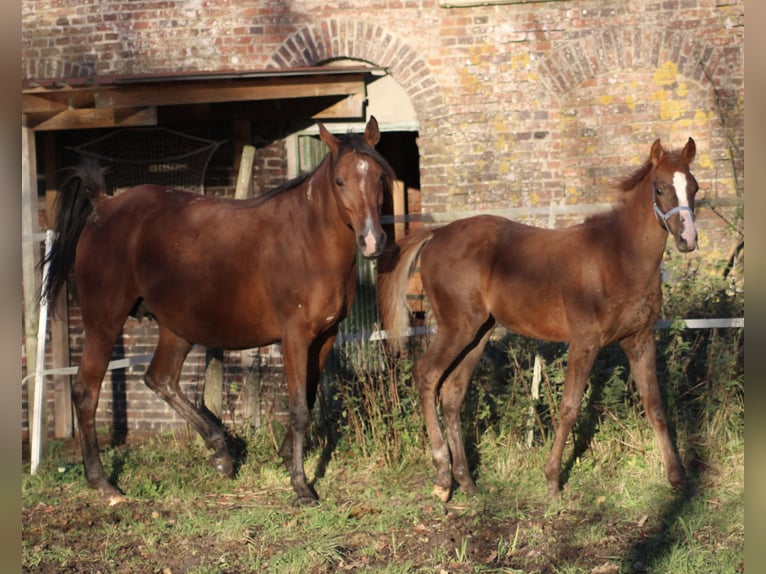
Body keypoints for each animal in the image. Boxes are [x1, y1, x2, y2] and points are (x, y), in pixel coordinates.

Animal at [42, 117, 394, 506]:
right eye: (340, 181)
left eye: (379, 176)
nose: (373, 241)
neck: (307, 239)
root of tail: (102, 205)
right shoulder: (295, 337)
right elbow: (300, 407)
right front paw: (301, 485)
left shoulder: (326, 335)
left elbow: (311, 395)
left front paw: (286, 456)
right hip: (104, 322)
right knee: (86, 390)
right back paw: (103, 483)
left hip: (176, 326)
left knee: (161, 379)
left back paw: (221, 453)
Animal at [377, 137, 699, 502]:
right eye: (659, 189)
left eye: (694, 188)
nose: (688, 239)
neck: (618, 258)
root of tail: (436, 233)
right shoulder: (585, 341)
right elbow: (570, 407)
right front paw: (552, 482)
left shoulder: (640, 339)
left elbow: (655, 405)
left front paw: (678, 479)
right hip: (456, 328)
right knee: (427, 375)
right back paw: (443, 478)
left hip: (478, 334)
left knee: (452, 394)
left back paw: (467, 482)